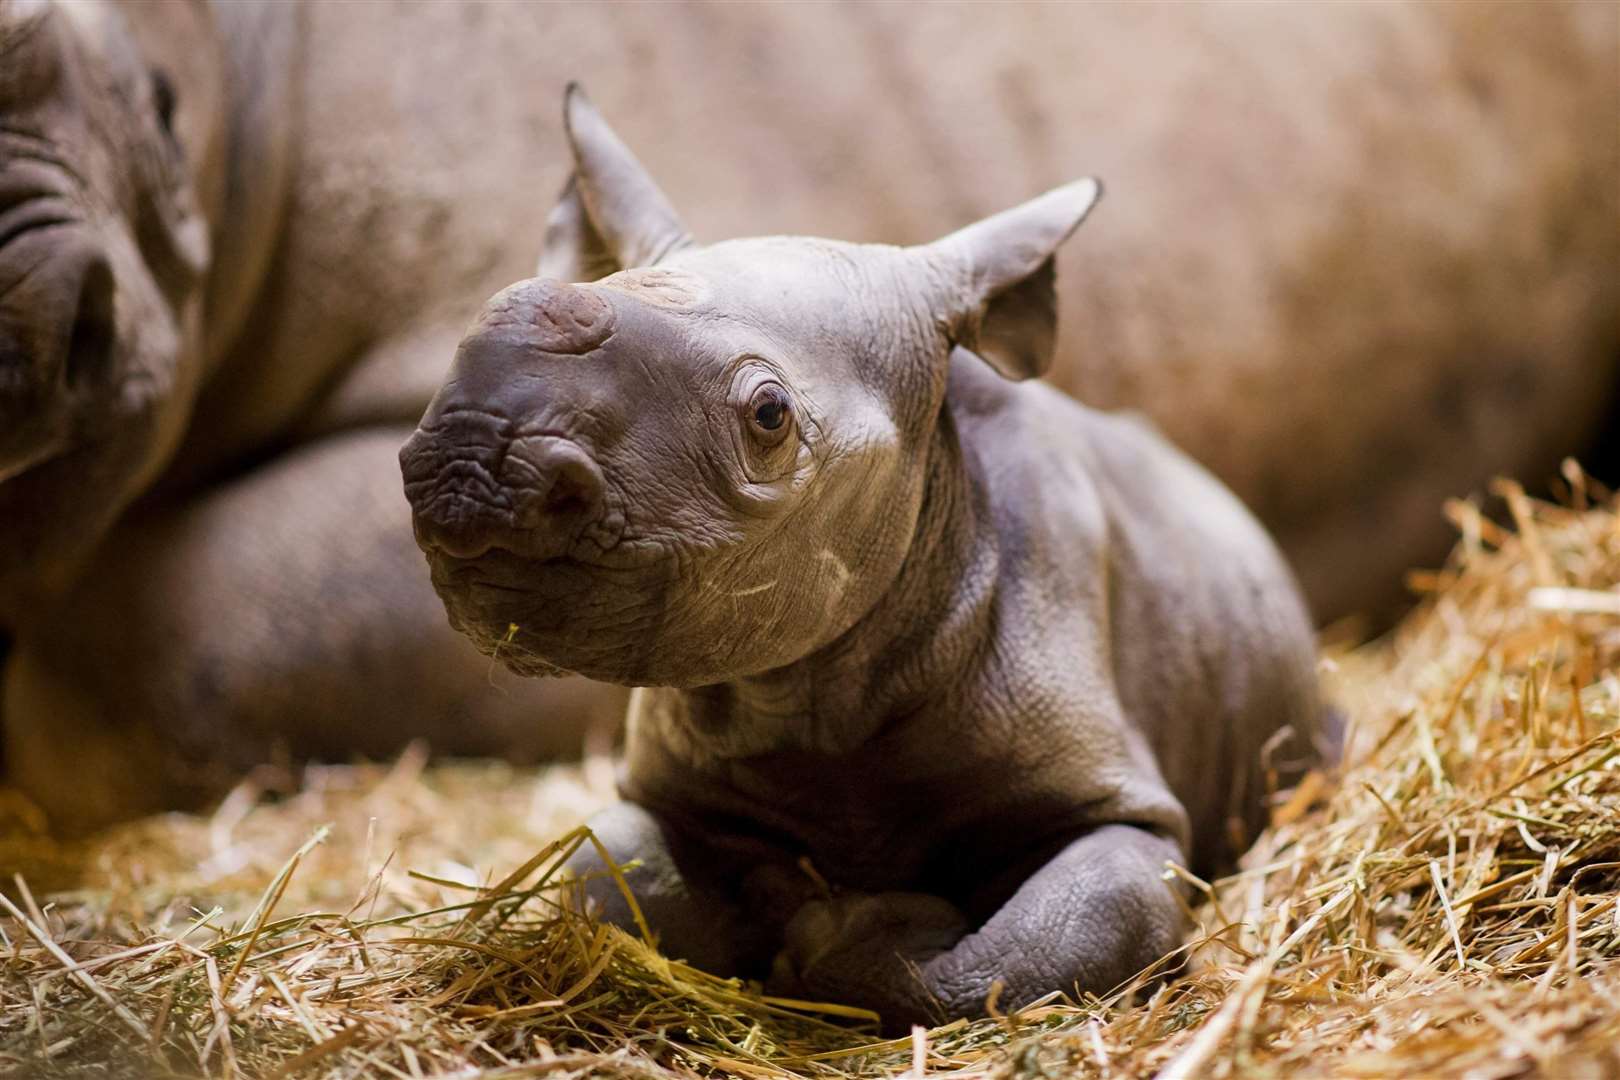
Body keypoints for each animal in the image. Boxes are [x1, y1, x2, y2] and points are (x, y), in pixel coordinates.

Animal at [405, 86, 1328, 1029]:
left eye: (769, 416)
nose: (470, 462)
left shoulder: (1124, 810)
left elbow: (1034, 946)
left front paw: (860, 925)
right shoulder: (663, 788)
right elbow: (609, 875)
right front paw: (789, 901)